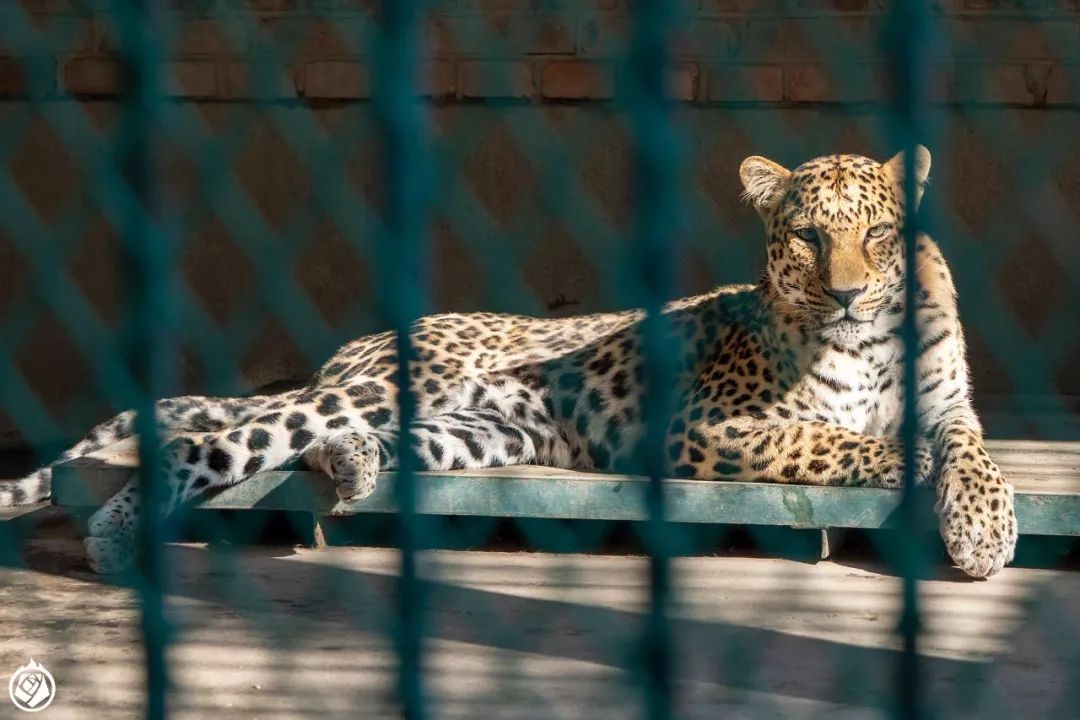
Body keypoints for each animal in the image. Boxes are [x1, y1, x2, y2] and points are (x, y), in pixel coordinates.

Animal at [0, 147, 1010, 578]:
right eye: (805, 236)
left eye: (876, 234)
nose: (845, 295)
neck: (867, 341)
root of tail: (354, 348)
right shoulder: (706, 426)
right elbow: (834, 440)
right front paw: (913, 473)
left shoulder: (952, 404)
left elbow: (975, 454)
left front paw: (984, 527)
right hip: (372, 394)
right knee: (226, 439)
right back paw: (118, 532)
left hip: (483, 436)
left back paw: (351, 467)